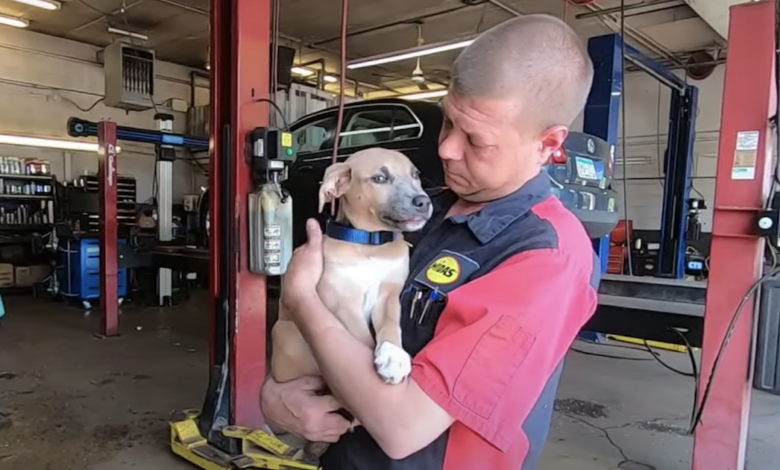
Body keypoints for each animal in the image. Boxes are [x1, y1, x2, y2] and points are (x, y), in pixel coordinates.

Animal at [272, 151, 432, 458]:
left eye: (416, 175)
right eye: (380, 178)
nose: (423, 201)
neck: (370, 244)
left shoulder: (389, 295)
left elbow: (391, 326)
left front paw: (393, 357)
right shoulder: (341, 301)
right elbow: (362, 340)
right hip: (288, 334)